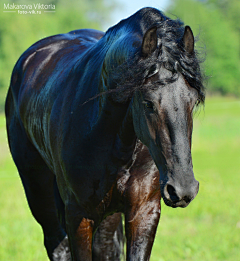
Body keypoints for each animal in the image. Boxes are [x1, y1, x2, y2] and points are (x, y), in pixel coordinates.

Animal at [5, 7, 204, 260]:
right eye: (148, 103)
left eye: (194, 101)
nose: (183, 189)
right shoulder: (78, 215)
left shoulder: (144, 211)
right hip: (40, 193)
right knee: (57, 244)